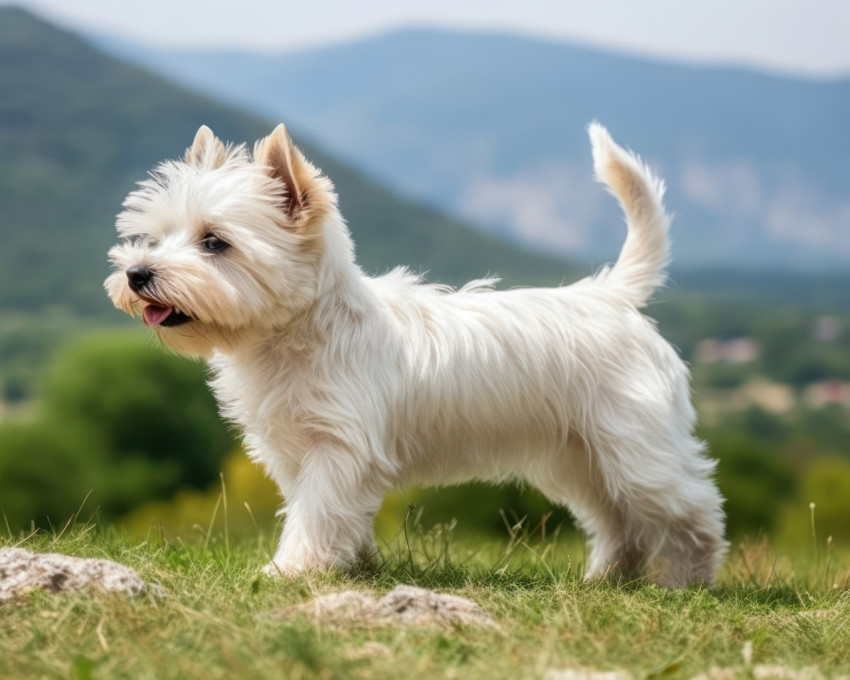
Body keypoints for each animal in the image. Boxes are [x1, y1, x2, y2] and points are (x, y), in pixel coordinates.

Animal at [106, 121, 724, 584]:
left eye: (215, 241)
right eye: (155, 237)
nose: (137, 274)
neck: (300, 333)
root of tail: (609, 293)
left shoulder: (337, 448)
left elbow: (315, 512)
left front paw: (290, 570)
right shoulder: (294, 451)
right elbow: (329, 513)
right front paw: (351, 564)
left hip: (636, 448)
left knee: (692, 508)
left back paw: (689, 581)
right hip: (580, 458)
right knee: (621, 521)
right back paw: (609, 578)